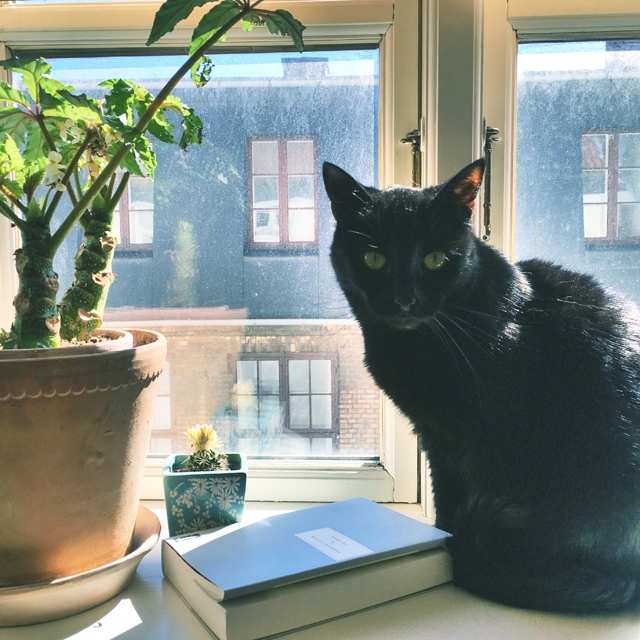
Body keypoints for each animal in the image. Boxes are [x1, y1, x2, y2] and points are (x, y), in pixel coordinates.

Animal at [322, 158, 640, 612]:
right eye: (374, 258)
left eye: (436, 259)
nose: (404, 300)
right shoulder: (436, 437)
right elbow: (446, 495)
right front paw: (443, 539)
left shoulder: (484, 440)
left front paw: (454, 552)